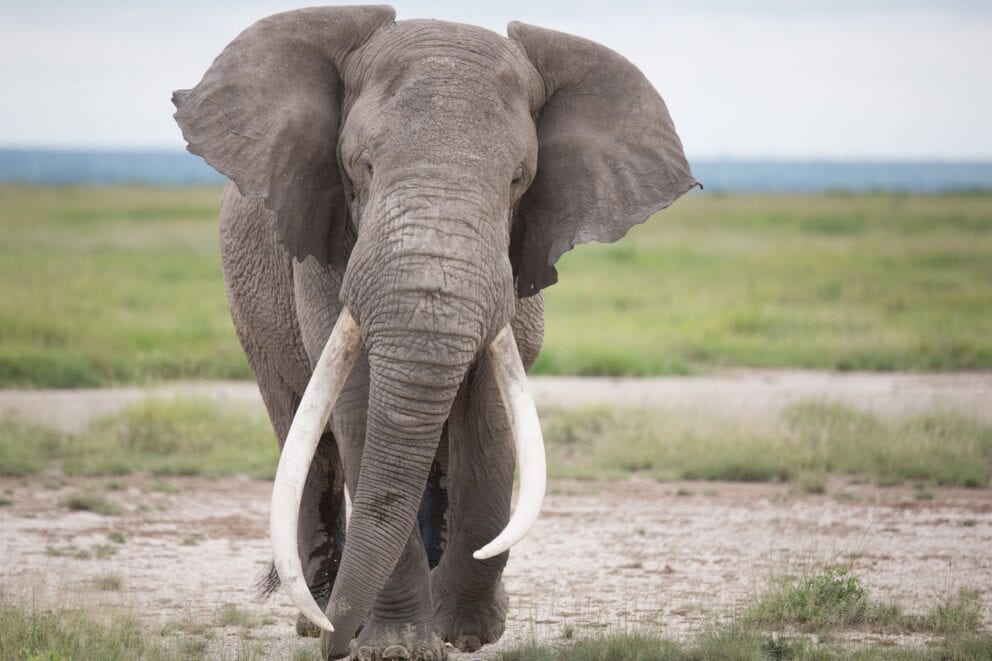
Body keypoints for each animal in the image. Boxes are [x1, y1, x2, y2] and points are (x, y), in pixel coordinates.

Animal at [173, 6, 696, 660]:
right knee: (306, 431)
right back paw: (317, 615)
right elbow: (358, 407)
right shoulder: (328, 252)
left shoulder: (514, 264)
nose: (335, 645)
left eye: (519, 179)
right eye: (362, 167)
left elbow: (492, 414)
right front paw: (395, 647)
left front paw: (469, 633)